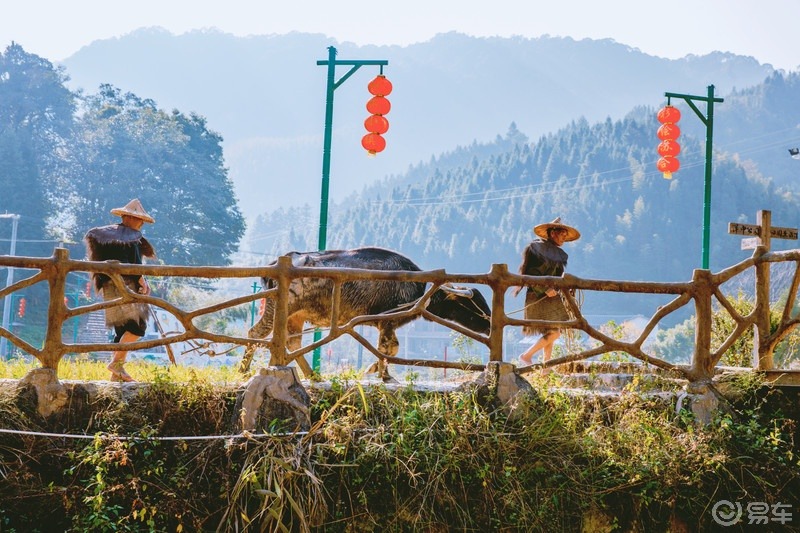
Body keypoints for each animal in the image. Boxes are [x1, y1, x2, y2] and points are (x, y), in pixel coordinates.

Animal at [241, 246, 490, 378]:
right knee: (255, 334)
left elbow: (388, 349)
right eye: (471, 304)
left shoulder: (385, 324)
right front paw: (381, 373)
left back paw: (312, 375)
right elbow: (389, 348)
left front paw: (375, 369)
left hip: (296, 317)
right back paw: (244, 370)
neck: (418, 287)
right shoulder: (387, 321)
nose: (489, 324)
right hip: (277, 309)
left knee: (292, 343)